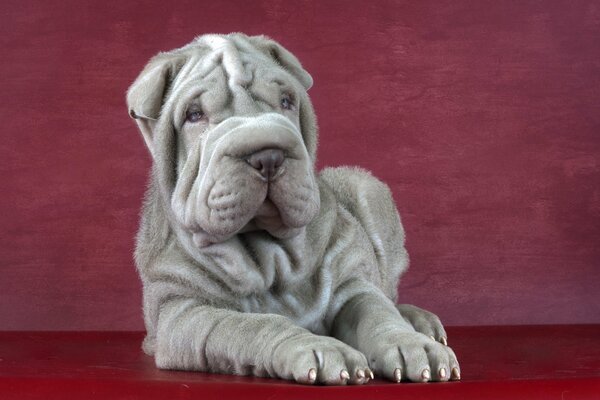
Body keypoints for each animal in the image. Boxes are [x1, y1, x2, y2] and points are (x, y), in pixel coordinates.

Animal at [126, 33, 460, 384]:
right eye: (194, 115)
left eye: (286, 101)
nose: (268, 156)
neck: (270, 256)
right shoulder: (184, 313)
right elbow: (251, 324)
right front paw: (320, 348)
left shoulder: (351, 286)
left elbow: (376, 311)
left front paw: (411, 343)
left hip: (366, 188)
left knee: (388, 294)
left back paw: (420, 322)